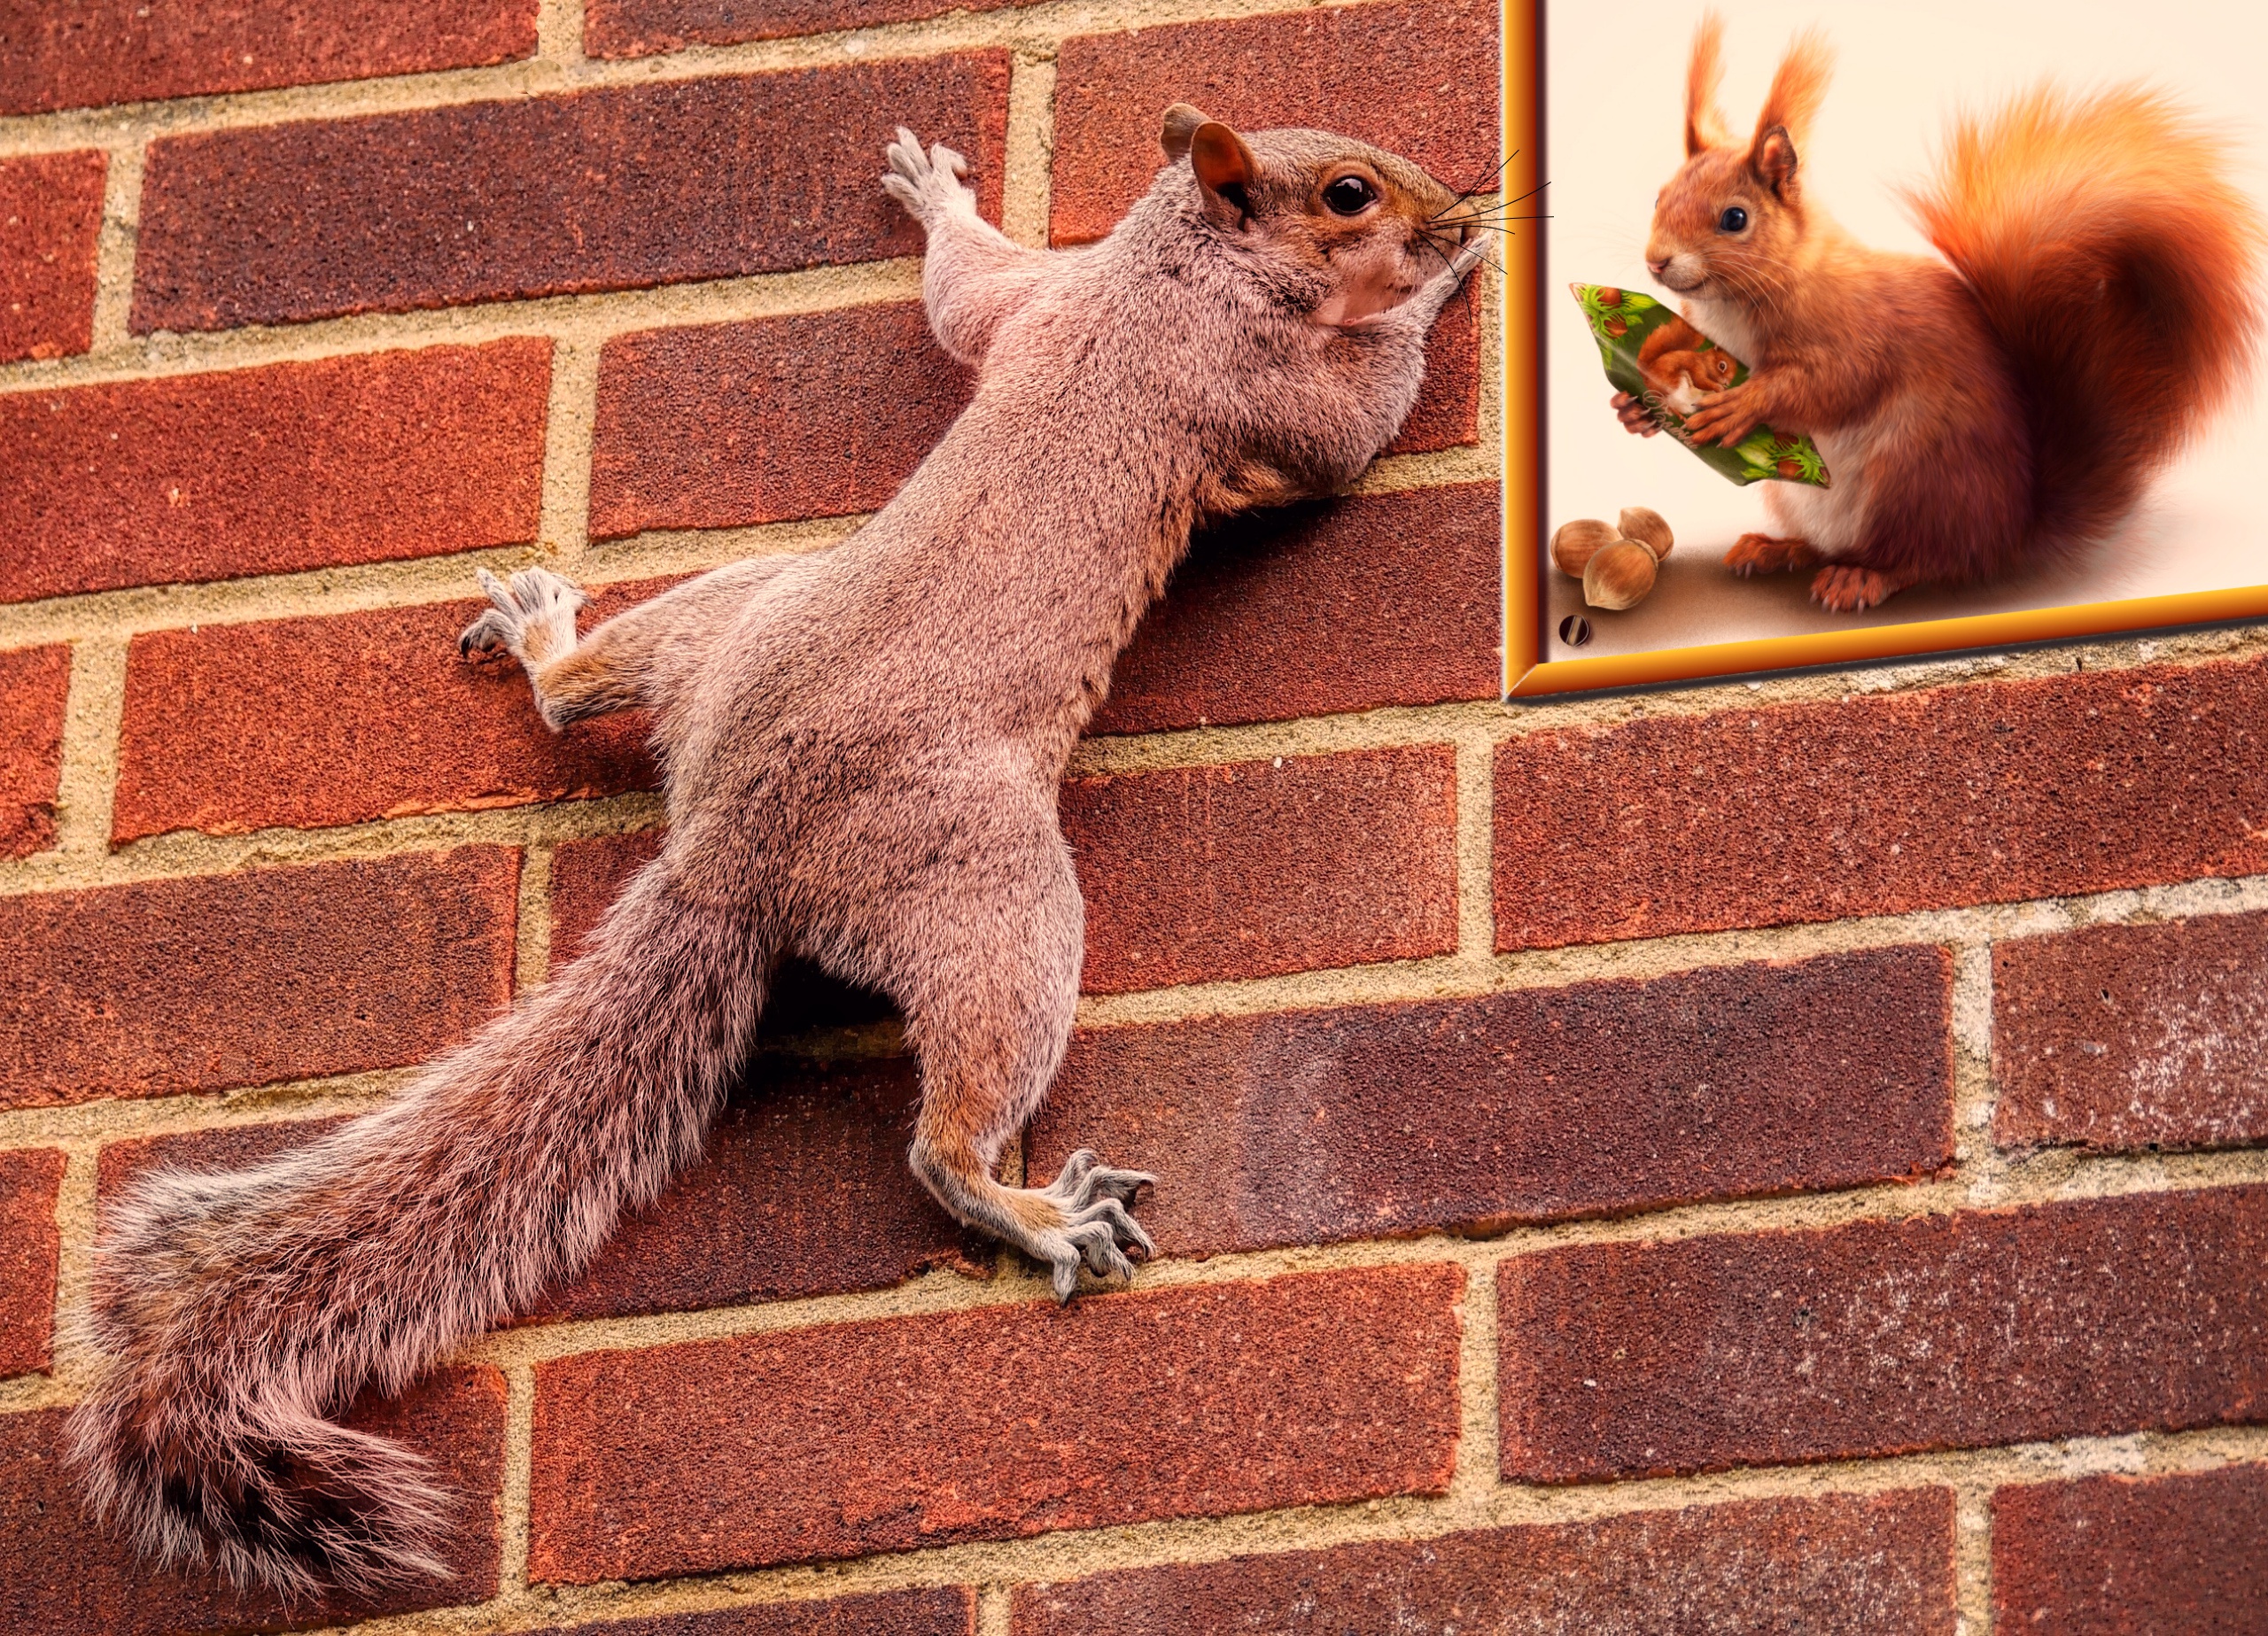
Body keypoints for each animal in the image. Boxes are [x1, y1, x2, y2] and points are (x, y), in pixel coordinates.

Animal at [66, 108, 1487, 1588]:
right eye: (1349, 195)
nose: (1451, 206)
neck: (1168, 270)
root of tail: (727, 851)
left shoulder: (1038, 299)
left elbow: (965, 291)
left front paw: (935, 196)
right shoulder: (1253, 386)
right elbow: (1355, 426)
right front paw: (1449, 279)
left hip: (733, 613)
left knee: (580, 697)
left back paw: (548, 645)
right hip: (992, 886)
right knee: (944, 1135)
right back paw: (1034, 1208)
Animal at [1605, 20, 2258, 608]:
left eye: (1735, 219)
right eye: (1660, 195)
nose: (1657, 261)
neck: (1737, 303)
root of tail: (2013, 529)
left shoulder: (1855, 328)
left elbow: (1834, 382)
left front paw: (1747, 402)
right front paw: (1632, 409)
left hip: (1918, 481)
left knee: (1925, 562)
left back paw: (1861, 578)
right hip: (1808, 497)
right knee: (1833, 545)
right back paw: (1779, 548)